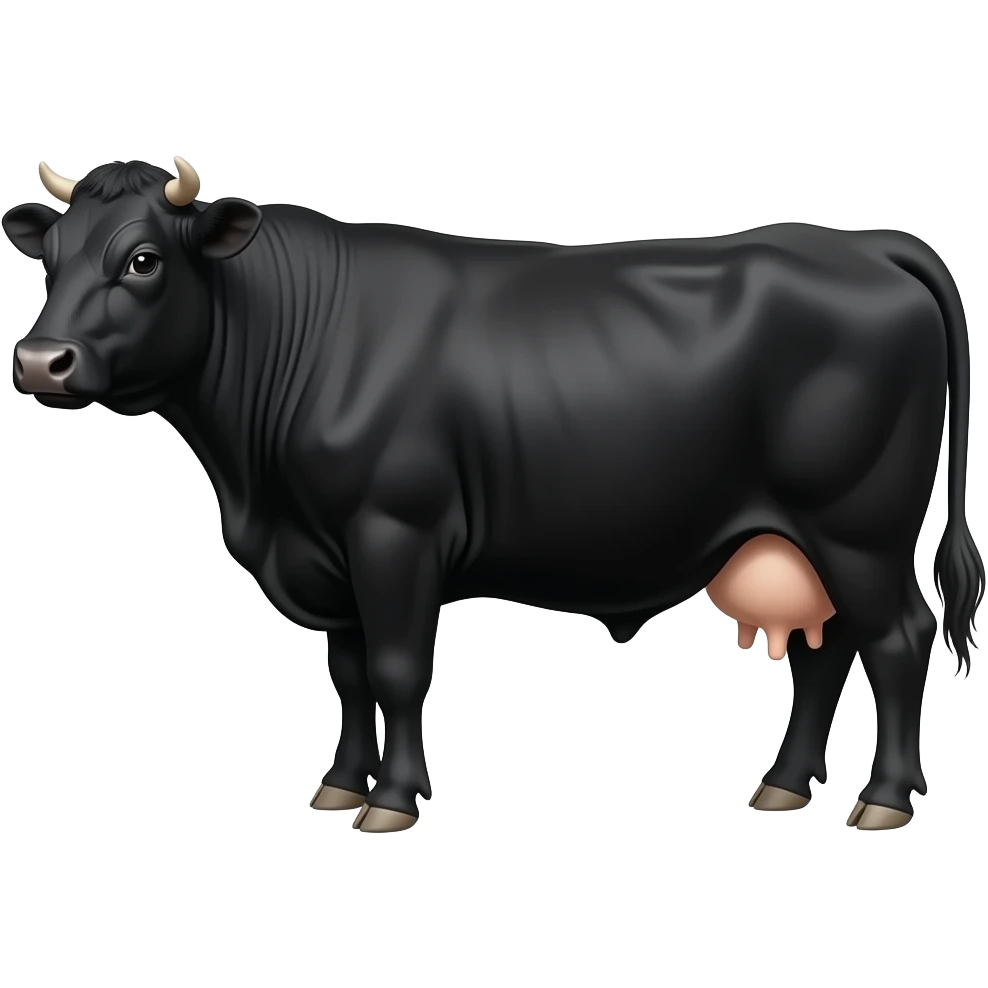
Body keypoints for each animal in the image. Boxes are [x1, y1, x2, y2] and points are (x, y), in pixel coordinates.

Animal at [4, 157, 983, 833]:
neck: (258, 489)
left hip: (860, 529)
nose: (40, 361)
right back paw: (781, 788)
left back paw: (885, 801)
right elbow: (349, 675)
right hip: (805, 539)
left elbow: (399, 670)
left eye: (141, 260)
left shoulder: (394, 532)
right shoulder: (329, 551)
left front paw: (394, 801)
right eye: (50, 258)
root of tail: (860, 242)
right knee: (826, 652)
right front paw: (340, 787)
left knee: (898, 642)